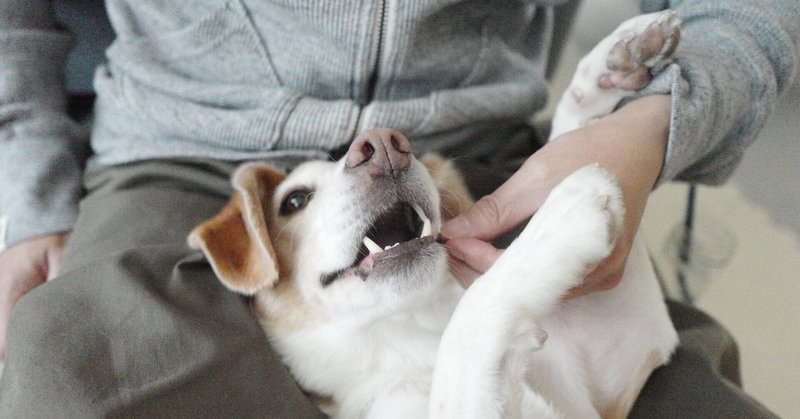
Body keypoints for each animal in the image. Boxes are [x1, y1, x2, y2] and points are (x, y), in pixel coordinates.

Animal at [189, 9, 680, 419]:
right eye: (293, 201)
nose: (384, 146)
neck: (412, 334)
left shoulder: (629, 354)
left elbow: (569, 133)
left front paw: (616, 62)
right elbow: (471, 322)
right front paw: (561, 219)